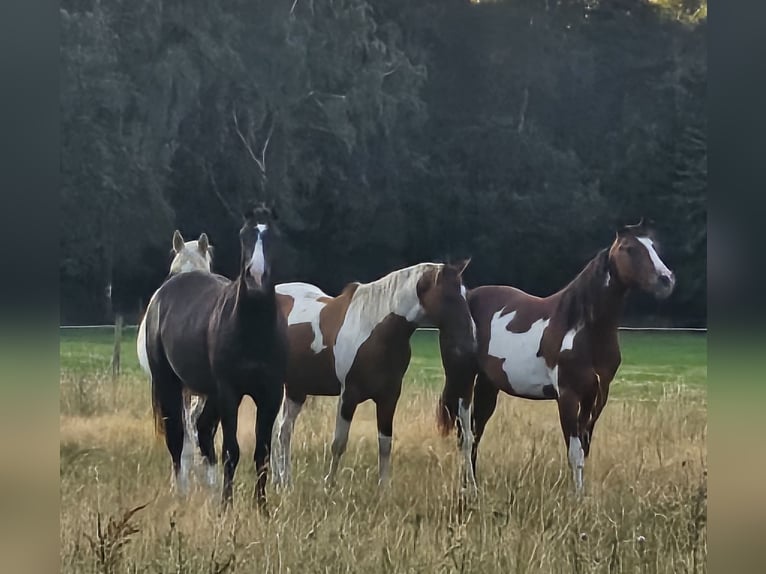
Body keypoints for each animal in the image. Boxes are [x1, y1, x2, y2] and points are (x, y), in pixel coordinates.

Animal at [266, 259, 478, 492]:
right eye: (449, 296)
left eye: (465, 295)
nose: (471, 341)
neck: (375, 330)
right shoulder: (348, 396)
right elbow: (339, 443)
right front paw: (329, 486)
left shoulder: (389, 397)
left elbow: (385, 443)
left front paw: (383, 490)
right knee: (280, 431)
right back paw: (283, 481)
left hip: (296, 389)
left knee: (284, 430)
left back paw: (283, 481)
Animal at [436, 220, 676, 494]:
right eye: (629, 248)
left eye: (653, 245)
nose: (666, 280)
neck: (581, 327)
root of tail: (465, 299)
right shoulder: (568, 396)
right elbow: (575, 453)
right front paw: (576, 498)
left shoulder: (596, 396)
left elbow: (584, 448)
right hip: (462, 379)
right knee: (464, 434)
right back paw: (470, 488)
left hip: (488, 384)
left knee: (476, 431)